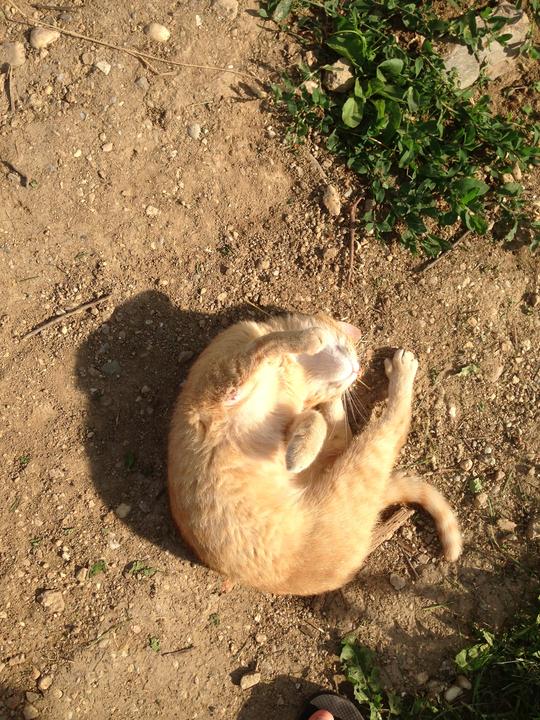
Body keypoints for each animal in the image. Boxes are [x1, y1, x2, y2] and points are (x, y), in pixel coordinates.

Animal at [167, 312, 462, 595]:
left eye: (344, 380)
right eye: (346, 347)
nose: (356, 370)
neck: (292, 375)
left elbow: (310, 415)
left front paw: (299, 453)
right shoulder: (223, 381)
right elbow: (266, 345)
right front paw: (311, 338)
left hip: (358, 462)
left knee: (385, 427)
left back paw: (399, 373)